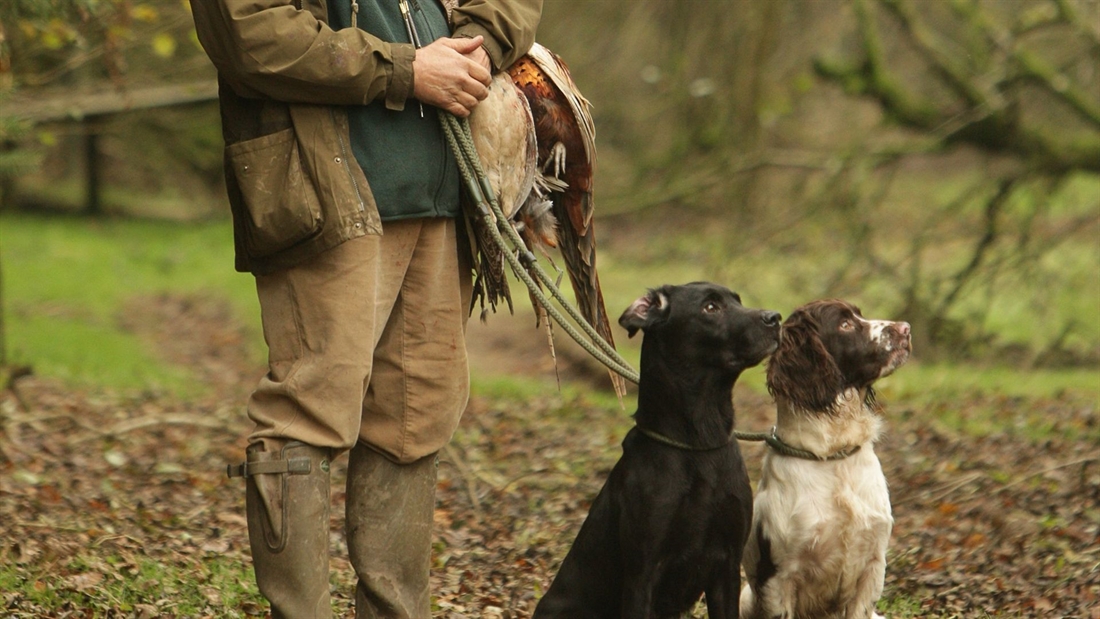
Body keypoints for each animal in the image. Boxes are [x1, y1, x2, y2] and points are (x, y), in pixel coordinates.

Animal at [532, 281, 783, 619]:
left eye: (738, 301)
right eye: (711, 307)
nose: (776, 317)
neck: (699, 443)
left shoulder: (728, 564)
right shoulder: (642, 573)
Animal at [739, 301, 910, 619]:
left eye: (859, 315)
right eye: (844, 324)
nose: (905, 328)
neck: (833, 455)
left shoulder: (874, 565)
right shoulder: (779, 578)